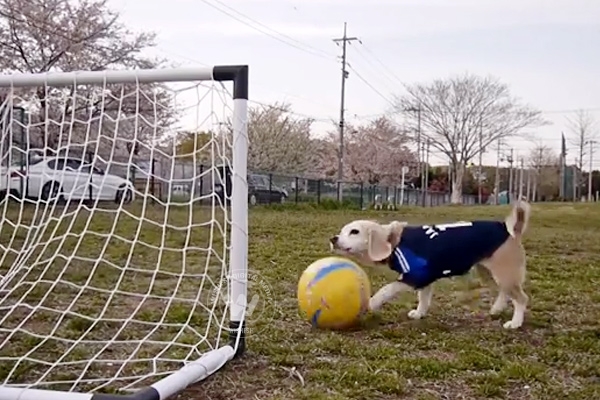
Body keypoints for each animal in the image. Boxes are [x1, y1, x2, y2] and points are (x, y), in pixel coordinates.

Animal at [330, 202, 532, 330]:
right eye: (342, 231)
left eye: (354, 232)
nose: (333, 239)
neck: (396, 242)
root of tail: (510, 231)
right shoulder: (425, 278)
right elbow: (424, 299)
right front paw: (419, 314)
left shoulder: (413, 276)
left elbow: (387, 289)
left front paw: (371, 303)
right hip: (488, 273)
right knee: (504, 293)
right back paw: (497, 310)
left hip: (504, 274)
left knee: (521, 298)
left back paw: (515, 323)